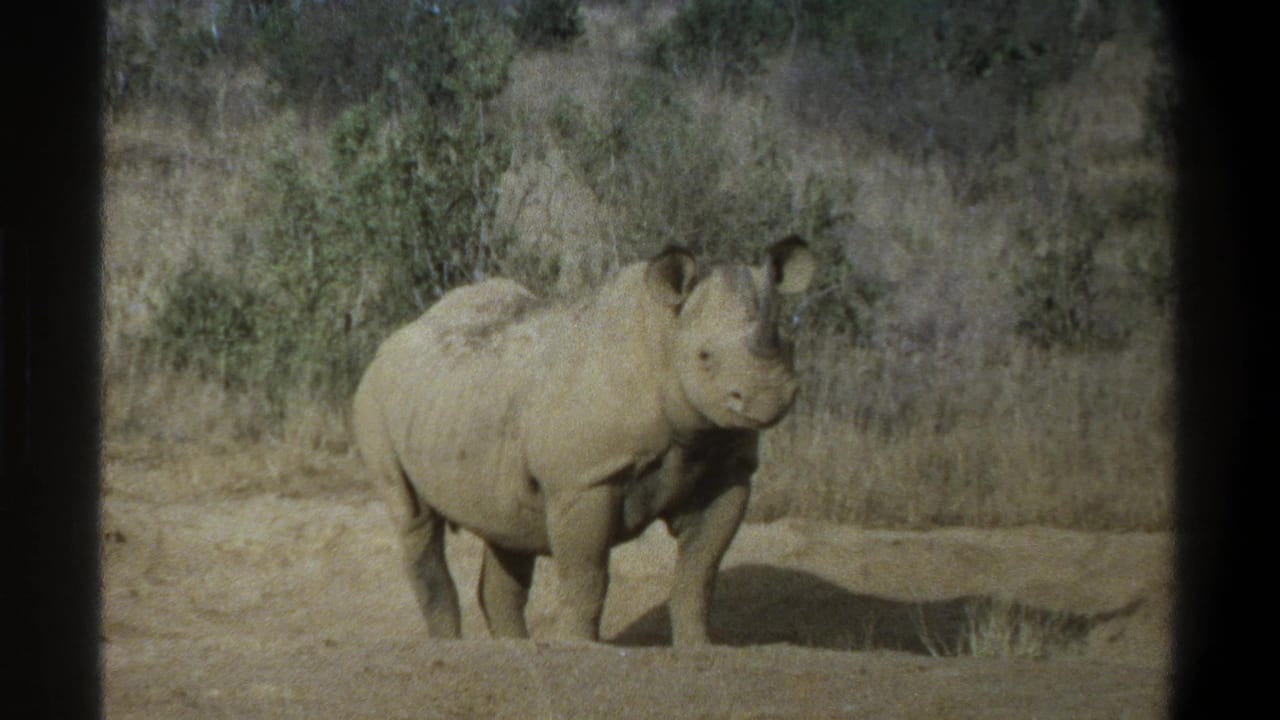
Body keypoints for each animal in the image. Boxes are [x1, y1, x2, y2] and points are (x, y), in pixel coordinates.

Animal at [353, 236, 815, 645]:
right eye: (704, 357)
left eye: (786, 344)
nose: (769, 396)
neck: (664, 336)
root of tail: (393, 339)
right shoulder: (584, 479)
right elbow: (587, 577)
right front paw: (581, 648)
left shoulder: (727, 468)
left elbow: (698, 575)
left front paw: (699, 648)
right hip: (376, 398)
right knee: (415, 518)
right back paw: (450, 646)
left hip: (460, 401)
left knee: (506, 527)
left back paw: (516, 649)